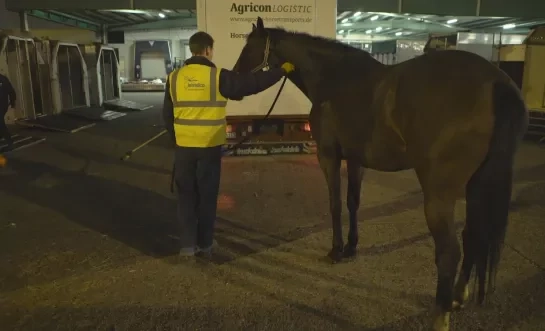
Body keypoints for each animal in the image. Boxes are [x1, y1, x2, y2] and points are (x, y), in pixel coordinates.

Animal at [233, 18, 528, 331]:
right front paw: (351, 247)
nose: (234, 81)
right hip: (476, 184)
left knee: (449, 252)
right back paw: (459, 297)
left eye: (249, 47)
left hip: (439, 192)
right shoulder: (355, 160)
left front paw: (336, 251)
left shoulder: (328, 156)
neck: (334, 79)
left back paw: (440, 315)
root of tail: (497, 84)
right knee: (473, 235)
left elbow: (335, 205)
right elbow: (352, 202)